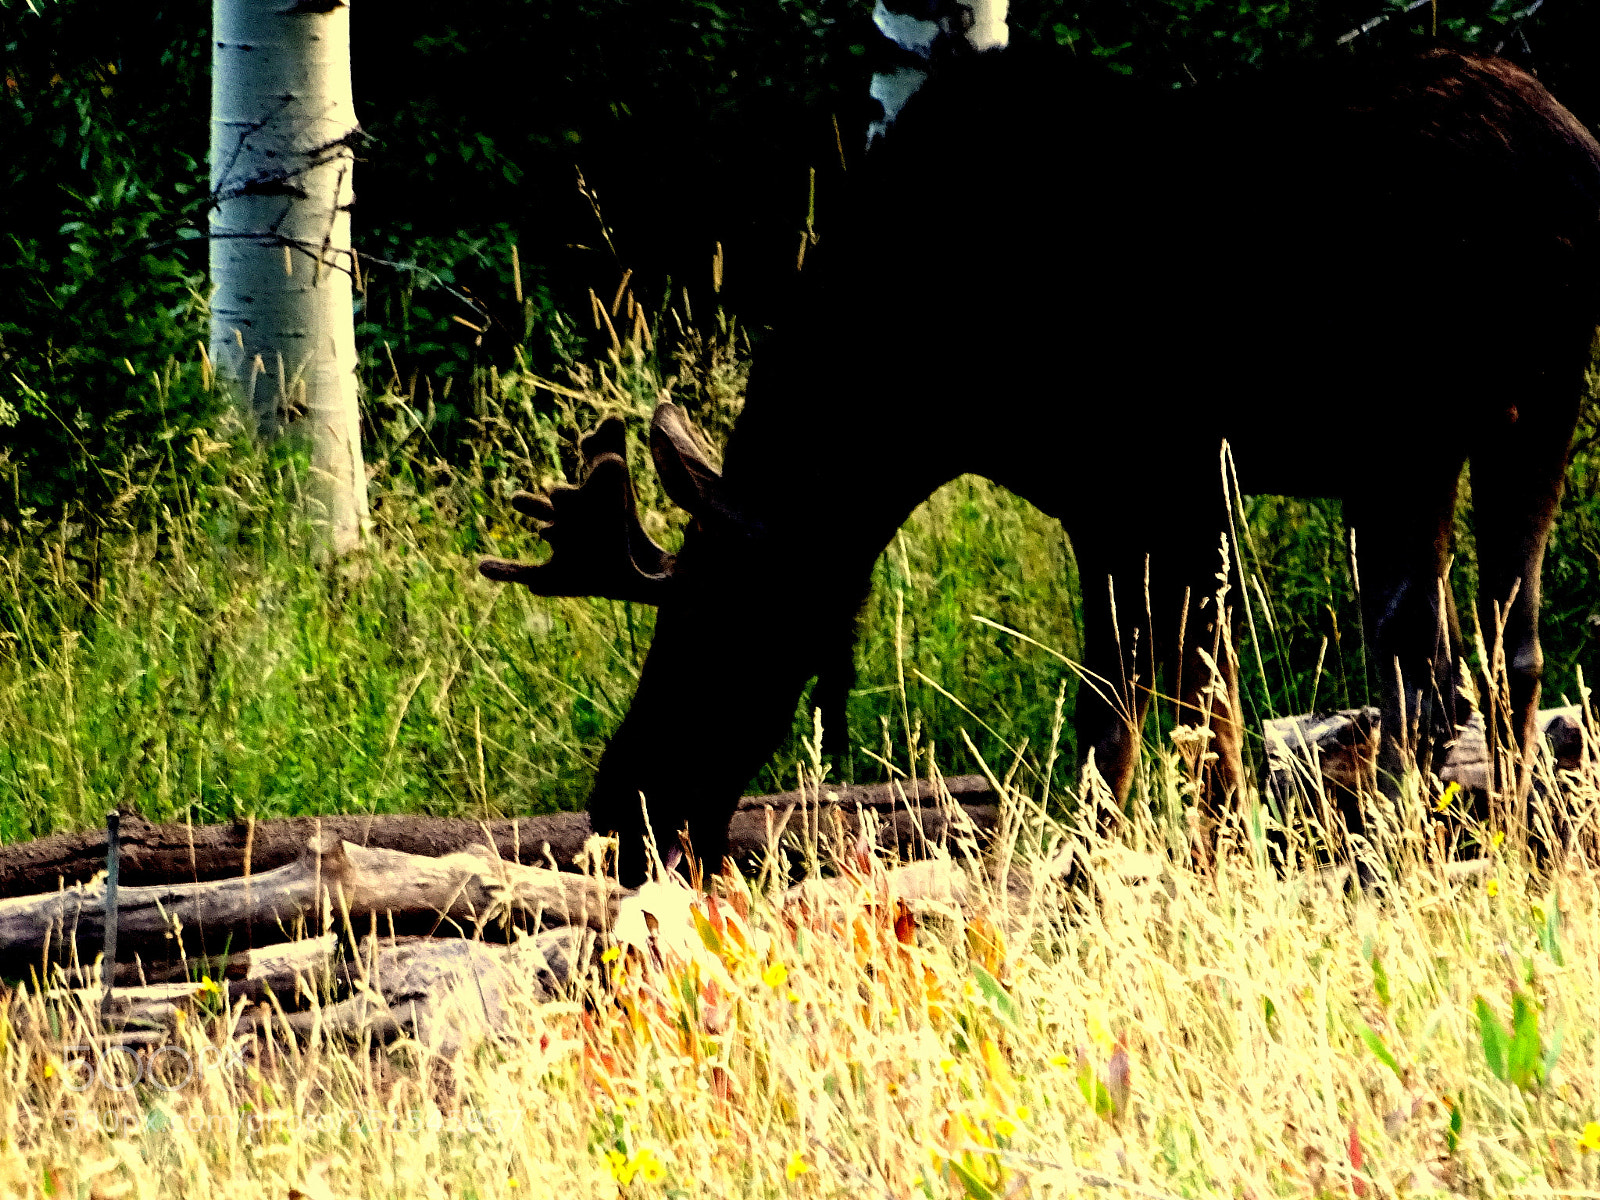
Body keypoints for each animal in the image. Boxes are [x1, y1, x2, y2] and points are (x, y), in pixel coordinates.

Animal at [481, 31, 1600, 885]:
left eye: (712, 626)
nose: (619, 807)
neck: (921, 395)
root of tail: (1572, 163)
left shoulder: (1148, 484)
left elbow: (1148, 708)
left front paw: (1148, 864)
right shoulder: (1136, 499)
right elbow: (1167, 704)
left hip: (1410, 435)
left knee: (1421, 662)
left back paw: (1400, 852)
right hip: (1529, 414)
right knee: (1507, 646)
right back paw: (1501, 844)